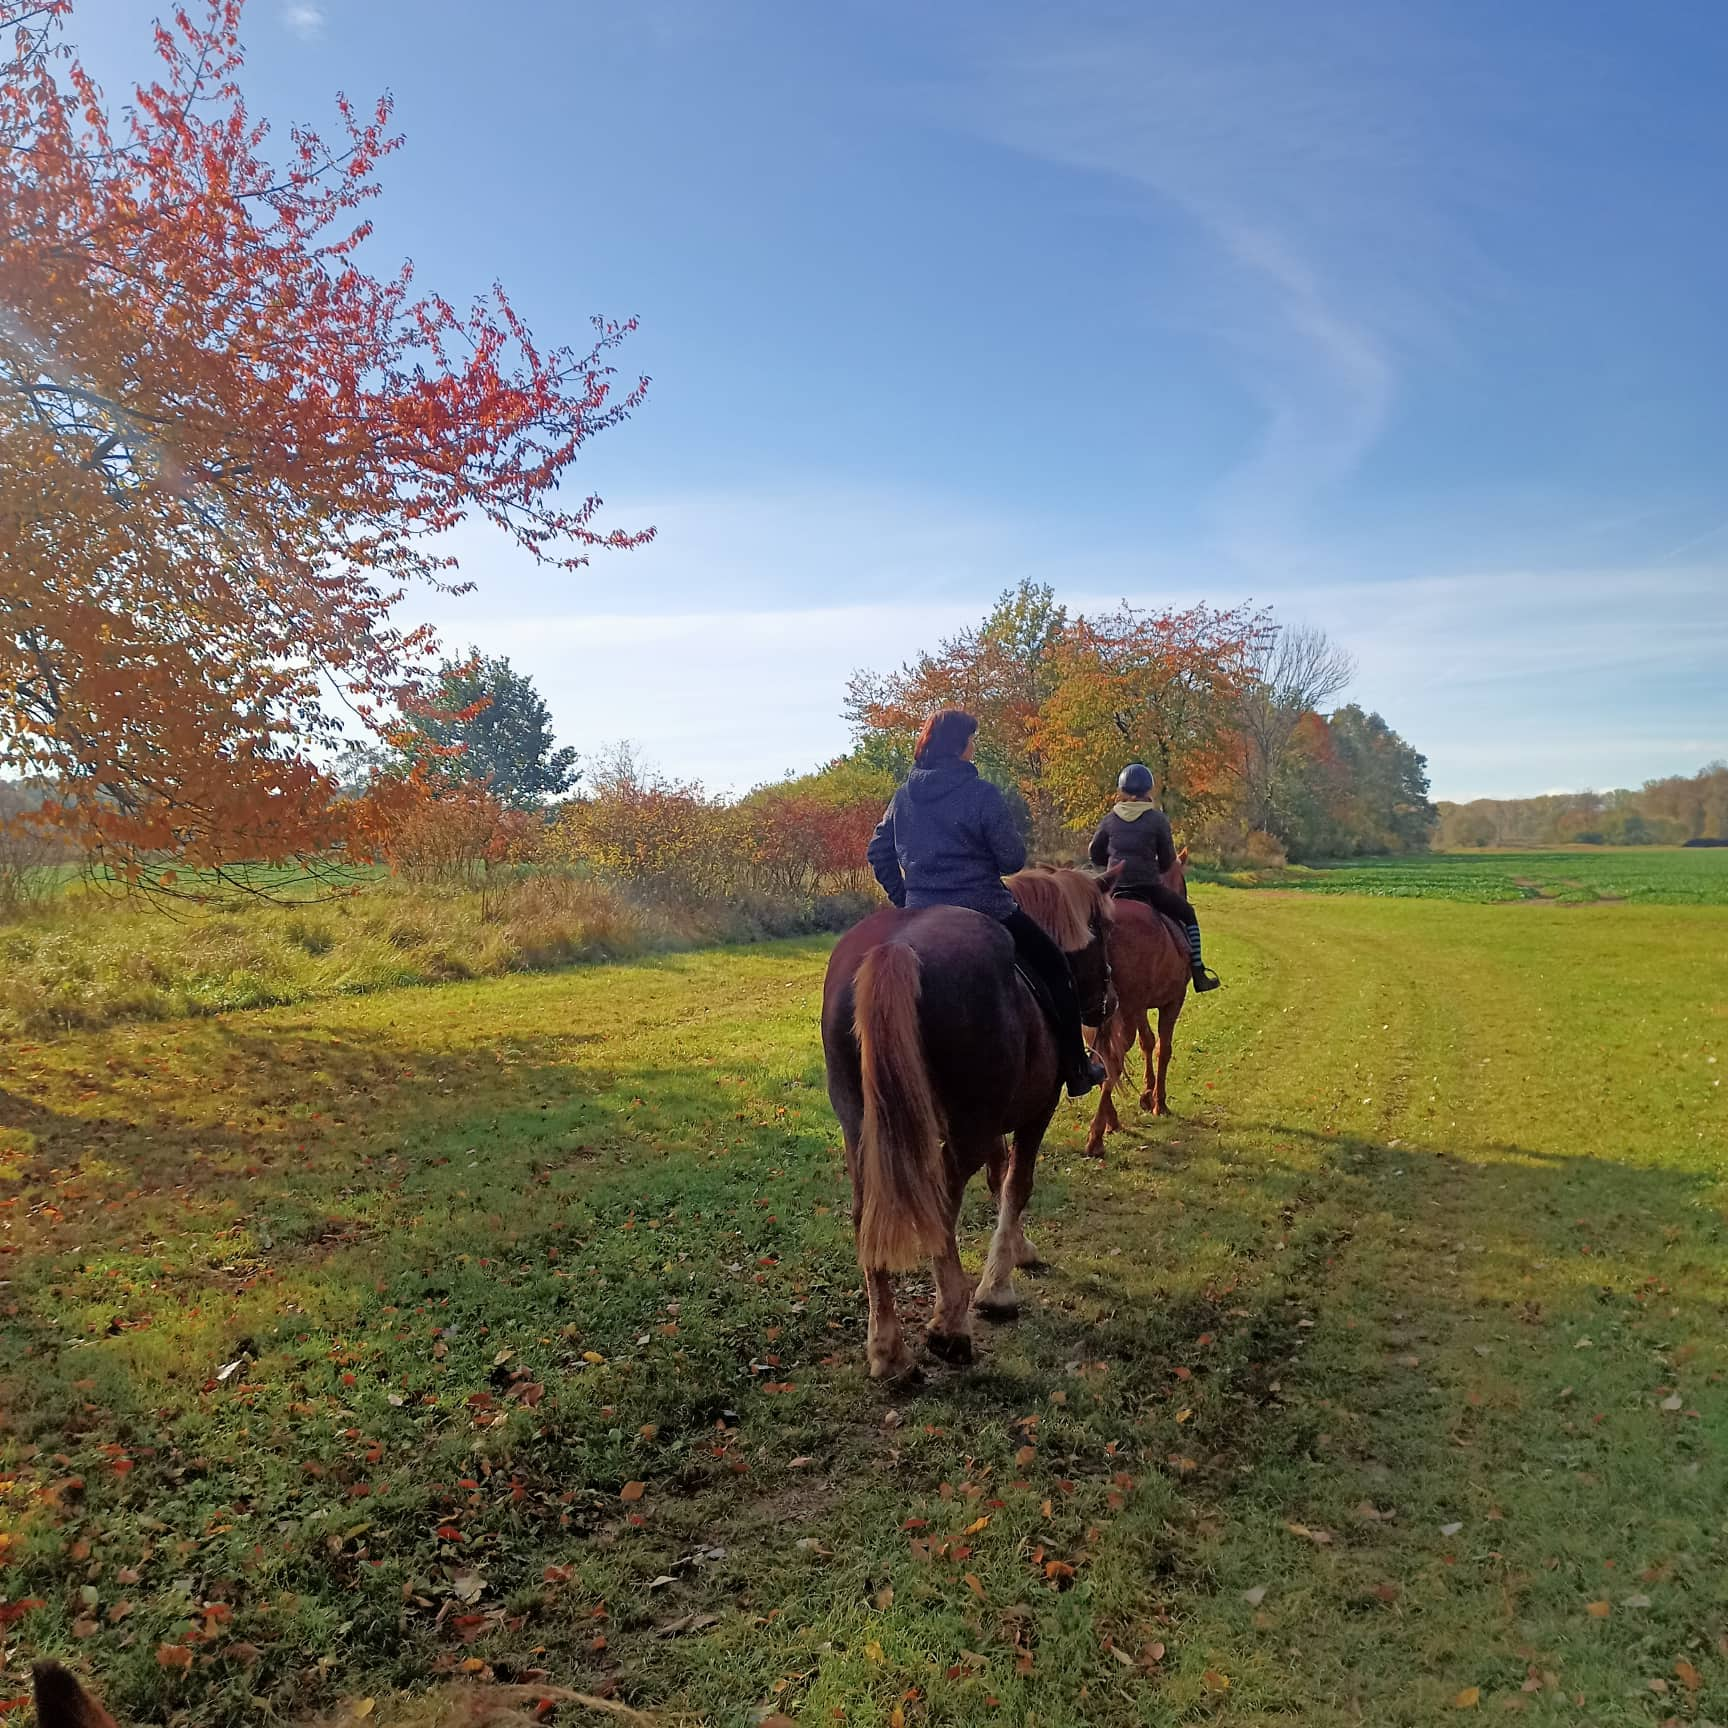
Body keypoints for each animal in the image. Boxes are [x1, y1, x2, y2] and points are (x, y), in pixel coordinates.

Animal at [825, 864, 1119, 1375]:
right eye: (1102, 931)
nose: (1111, 1000)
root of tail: (895, 948)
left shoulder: (995, 1125)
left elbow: (999, 1181)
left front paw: (1018, 1251)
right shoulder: (1035, 1112)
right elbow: (1017, 1185)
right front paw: (997, 1289)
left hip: (862, 1132)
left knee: (866, 1217)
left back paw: (887, 1349)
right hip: (966, 1131)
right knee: (942, 1204)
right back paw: (951, 1327)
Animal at [1085, 843, 1195, 1154]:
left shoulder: (1141, 1007)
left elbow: (1148, 1043)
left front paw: (1147, 1094)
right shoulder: (1172, 1002)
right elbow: (1162, 1048)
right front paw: (1159, 1101)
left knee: (1102, 1059)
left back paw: (1110, 1121)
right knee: (1114, 1058)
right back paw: (1097, 1134)